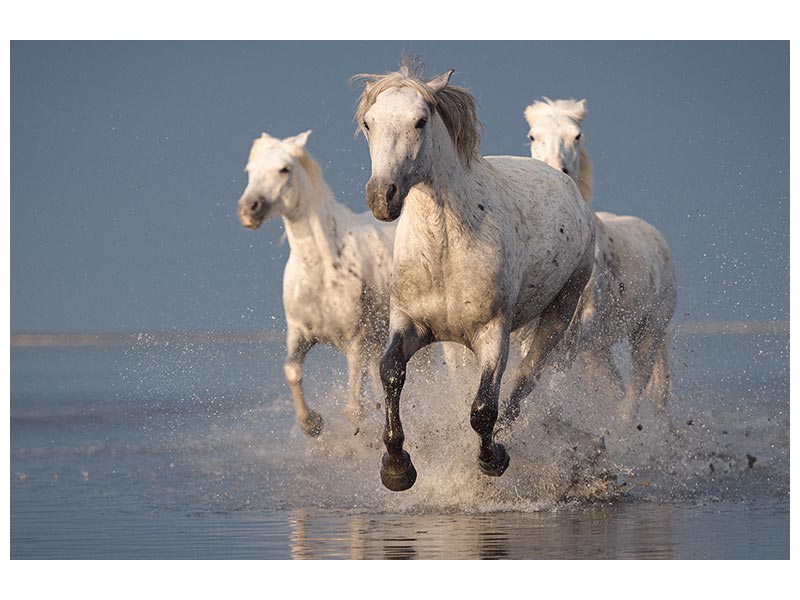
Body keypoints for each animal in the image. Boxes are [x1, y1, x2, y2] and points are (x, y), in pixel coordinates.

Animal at [236, 132, 396, 436]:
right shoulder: (299, 333)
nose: (248, 209)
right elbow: (292, 371)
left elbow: (354, 410)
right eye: (249, 170)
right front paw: (312, 423)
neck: (320, 272)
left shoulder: (356, 342)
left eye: (284, 169)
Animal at [354, 62, 592, 492]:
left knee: (523, 383)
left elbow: (483, 408)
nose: (383, 196)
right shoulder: (411, 324)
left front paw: (492, 460)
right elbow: (391, 372)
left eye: (420, 121)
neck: (444, 250)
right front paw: (397, 468)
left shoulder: (493, 333)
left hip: (560, 312)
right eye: (369, 122)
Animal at [520, 97, 680, 422]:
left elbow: (554, 378)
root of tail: (658, 240)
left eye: (576, 135)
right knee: (619, 390)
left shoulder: (580, 327)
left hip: (648, 334)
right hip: (600, 350)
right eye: (532, 135)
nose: (557, 171)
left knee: (633, 397)